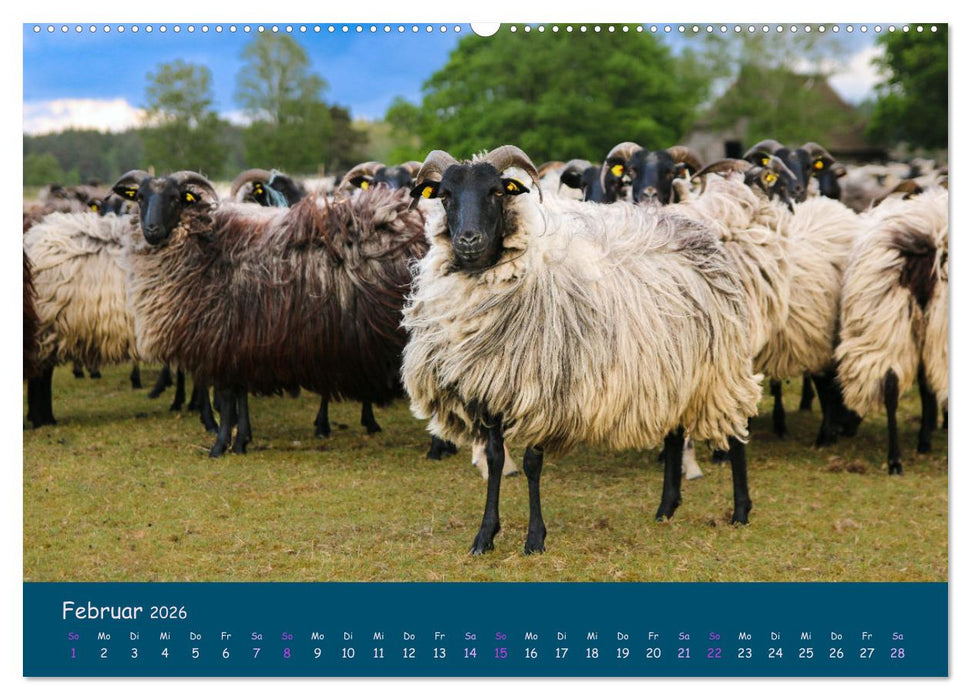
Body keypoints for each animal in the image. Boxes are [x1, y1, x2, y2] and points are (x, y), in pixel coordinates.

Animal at [112, 169, 429, 458]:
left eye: (176, 198)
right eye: (139, 197)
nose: (152, 230)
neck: (208, 249)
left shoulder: (221, 342)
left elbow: (227, 397)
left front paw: (220, 445)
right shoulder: (239, 344)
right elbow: (238, 395)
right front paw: (241, 440)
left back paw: (436, 448)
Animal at [401, 146, 762, 554]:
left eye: (497, 192)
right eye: (445, 195)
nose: (468, 240)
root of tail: (705, 235)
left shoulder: (545, 392)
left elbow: (532, 463)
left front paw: (535, 539)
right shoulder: (490, 388)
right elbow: (495, 460)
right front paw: (485, 536)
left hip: (720, 369)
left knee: (735, 432)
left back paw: (741, 511)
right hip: (673, 369)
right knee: (672, 435)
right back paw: (666, 508)